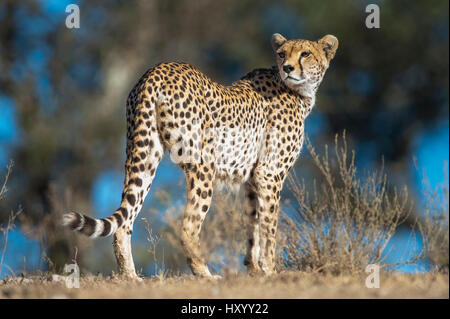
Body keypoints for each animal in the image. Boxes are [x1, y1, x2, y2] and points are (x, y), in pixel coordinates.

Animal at [62, 33, 338, 280]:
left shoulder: (252, 179)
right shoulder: (270, 174)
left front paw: (254, 269)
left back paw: (130, 277)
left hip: (143, 154)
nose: (288, 67)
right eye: (282, 54)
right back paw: (204, 274)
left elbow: (253, 226)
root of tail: (156, 70)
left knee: (124, 223)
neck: (297, 90)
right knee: (187, 227)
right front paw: (271, 271)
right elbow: (269, 227)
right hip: (203, 165)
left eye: (305, 53)